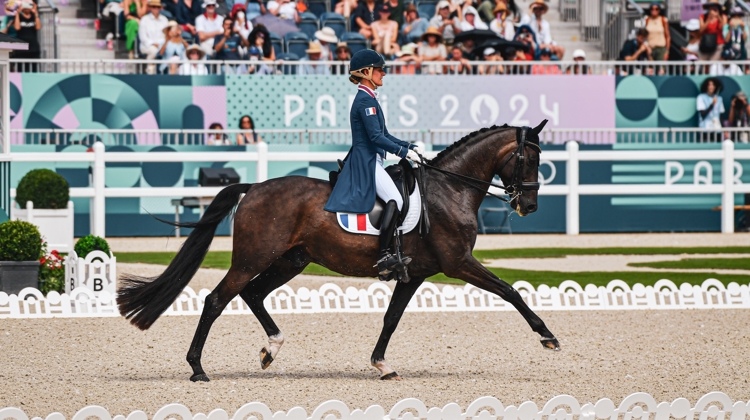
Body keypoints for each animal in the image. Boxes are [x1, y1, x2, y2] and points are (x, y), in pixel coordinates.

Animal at [117, 120, 560, 382]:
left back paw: (270, 349)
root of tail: (254, 186)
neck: (450, 189)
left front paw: (382, 364)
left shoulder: (415, 274)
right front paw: (548, 337)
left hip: (292, 260)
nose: (529, 205)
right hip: (253, 257)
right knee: (216, 299)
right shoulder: (459, 264)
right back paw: (197, 368)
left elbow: (391, 319)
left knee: (253, 294)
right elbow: (510, 290)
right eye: (527, 158)